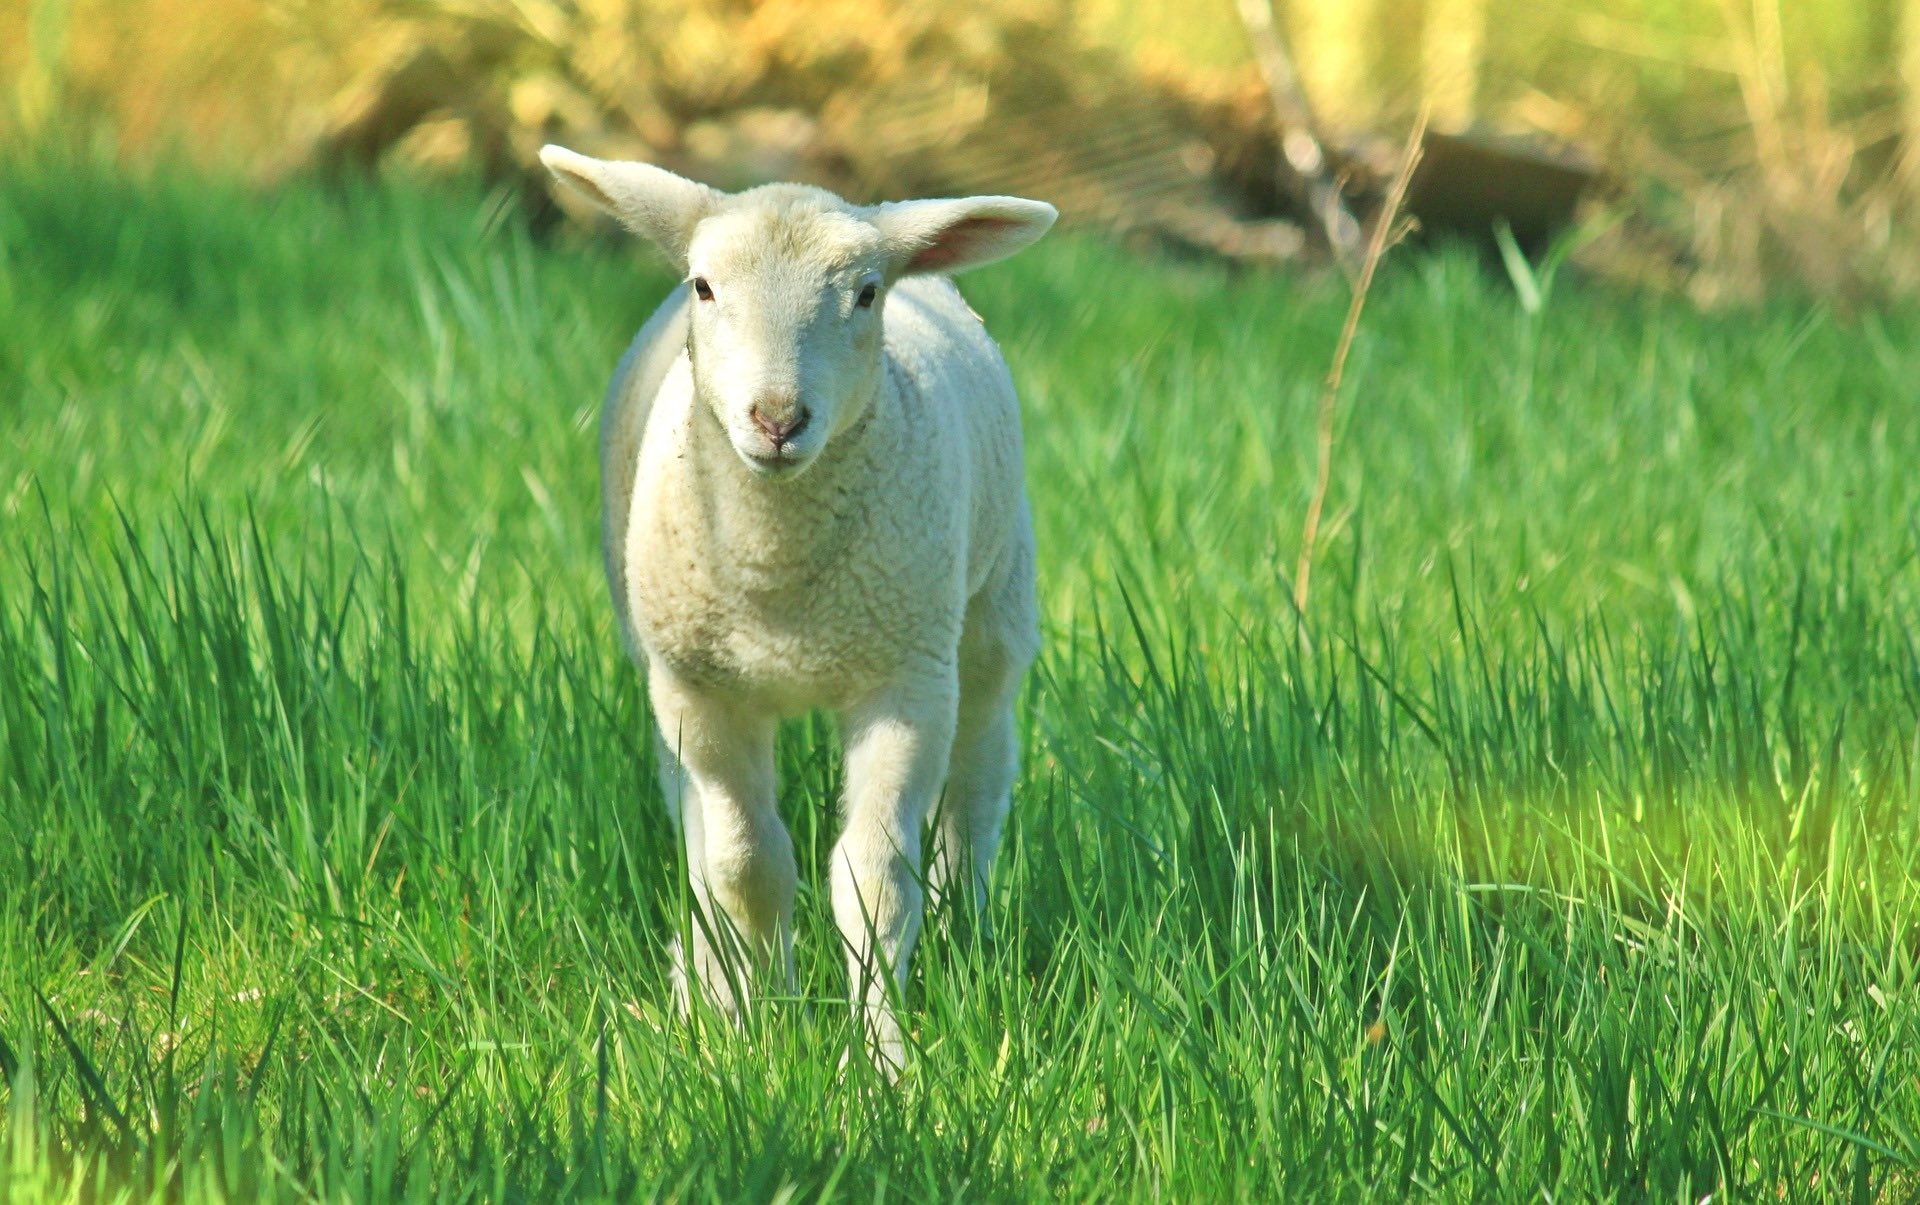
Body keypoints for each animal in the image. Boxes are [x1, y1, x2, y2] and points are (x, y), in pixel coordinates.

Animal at [541, 143, 1059, 1066]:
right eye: (704, 287)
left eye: (865, 294)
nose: (778, 418)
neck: (777, 581)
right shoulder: (701, 689)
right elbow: (746, 867)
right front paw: (756, 1027)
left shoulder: (903, 680)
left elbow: (873, 880)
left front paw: (881, 1058)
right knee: (696, 825)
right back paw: (705, 982)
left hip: (989, 610)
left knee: (979, 776)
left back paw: (964, 929)